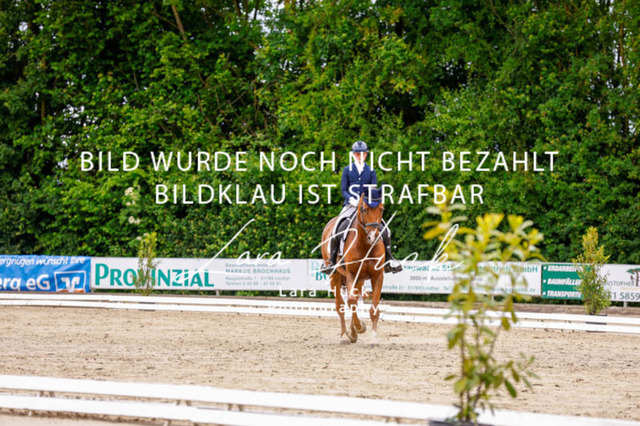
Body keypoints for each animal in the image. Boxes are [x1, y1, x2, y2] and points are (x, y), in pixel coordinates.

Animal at [321, 190, 386, 344]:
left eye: (381, 209)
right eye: (364, 209)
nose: (374, 237)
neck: (365, 245)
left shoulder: (377, 275)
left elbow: (373, 308)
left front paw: (373, 337)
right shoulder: (351, 274)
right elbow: (350, 301)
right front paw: (360, 327)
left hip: (360, 280)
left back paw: (352, 332)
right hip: (335, 275)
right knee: (341, 305)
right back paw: (346, 334)